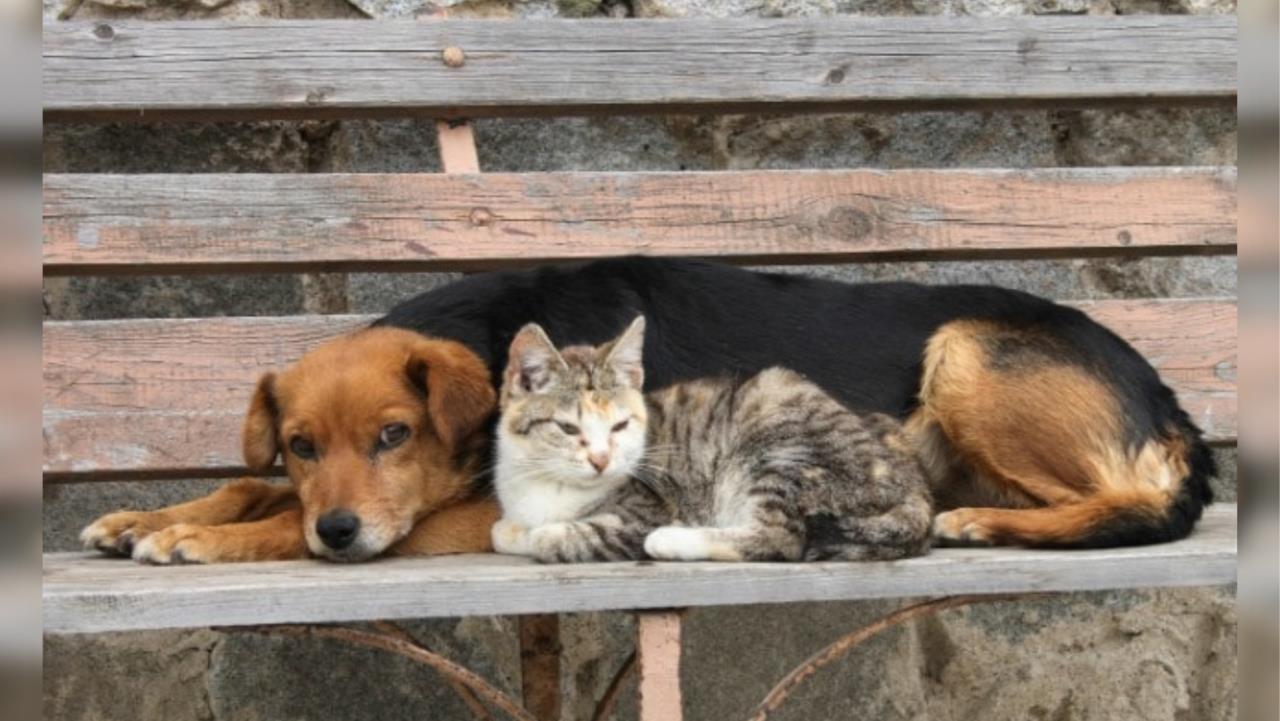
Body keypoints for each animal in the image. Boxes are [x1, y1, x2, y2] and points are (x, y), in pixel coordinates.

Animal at [488, 316, 931, 563]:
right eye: (568, 429)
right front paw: (514, 530)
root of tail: (913, 491)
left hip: (782, 444)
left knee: (780, 537)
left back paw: (672, 541)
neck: (548, 485)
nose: (600, 459)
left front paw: (540, 535)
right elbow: (501, 531)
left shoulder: (644, 511)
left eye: (620, 426)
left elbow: (552, 537)